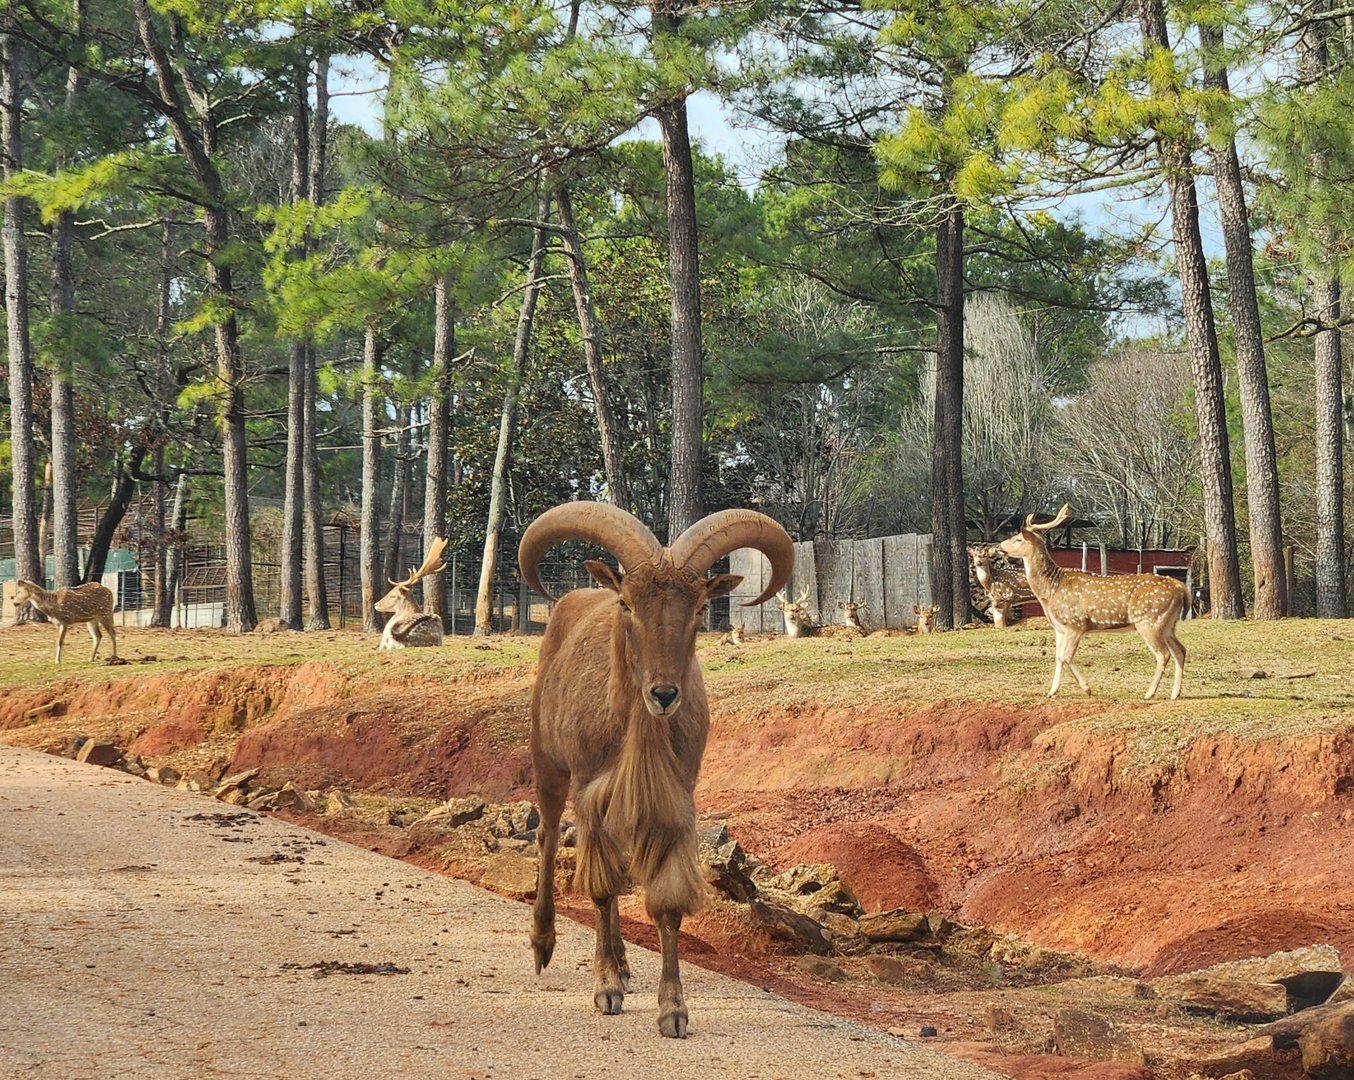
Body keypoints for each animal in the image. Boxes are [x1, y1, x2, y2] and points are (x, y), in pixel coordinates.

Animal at [518, 502, 793, 1038]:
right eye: (627, 603)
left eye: (700, 607)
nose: (663, 694)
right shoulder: (591, 794)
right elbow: (601, 889)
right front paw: (605, 988)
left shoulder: (672, 803)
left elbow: (663, 903)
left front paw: (673, 1010)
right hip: (549, 763)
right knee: (546, 839)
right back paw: (544, 944)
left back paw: (626, 964)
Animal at [1000, 504, 1190, 700]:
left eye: (1018, 538)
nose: (1000, 546)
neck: (1050, 591)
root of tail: (1180, 586)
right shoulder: (1060, 628)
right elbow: (1058, 657)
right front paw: (1051, 691)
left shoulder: (1075, 624)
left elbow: (1066, 657)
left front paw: (1087, 689)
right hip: (1167, 624)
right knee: (1180, 650)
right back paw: (1175, 693)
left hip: (1149, 621)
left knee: (1163, 654)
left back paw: (1149, 693)